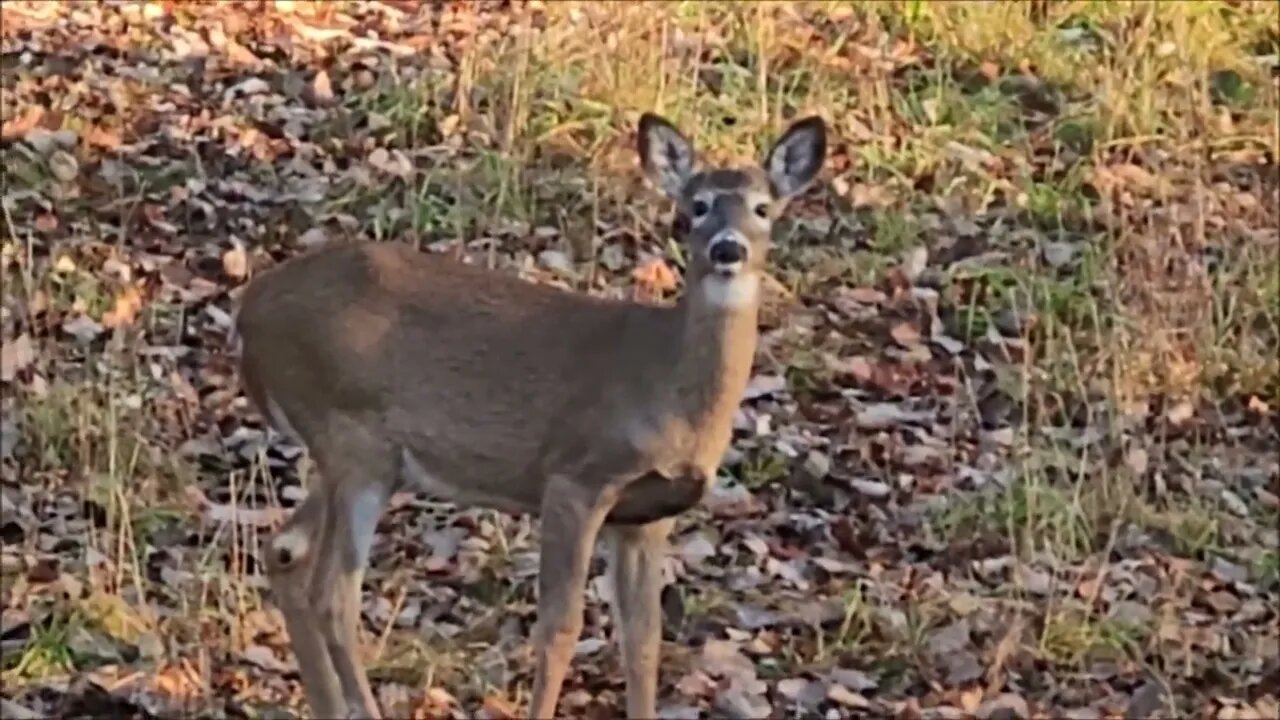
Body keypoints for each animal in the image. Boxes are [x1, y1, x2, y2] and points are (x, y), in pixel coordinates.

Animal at [232, 113, 829, 717]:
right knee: (332, 592)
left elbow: (643, 640)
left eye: (763, 208)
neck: (670, 393)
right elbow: (560, 628)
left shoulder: (647, 517)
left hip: (353, 455)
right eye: (697, 206)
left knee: (285, 550)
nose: (728, 249)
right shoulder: (575, 477)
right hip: (354, 440)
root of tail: (248, 310)